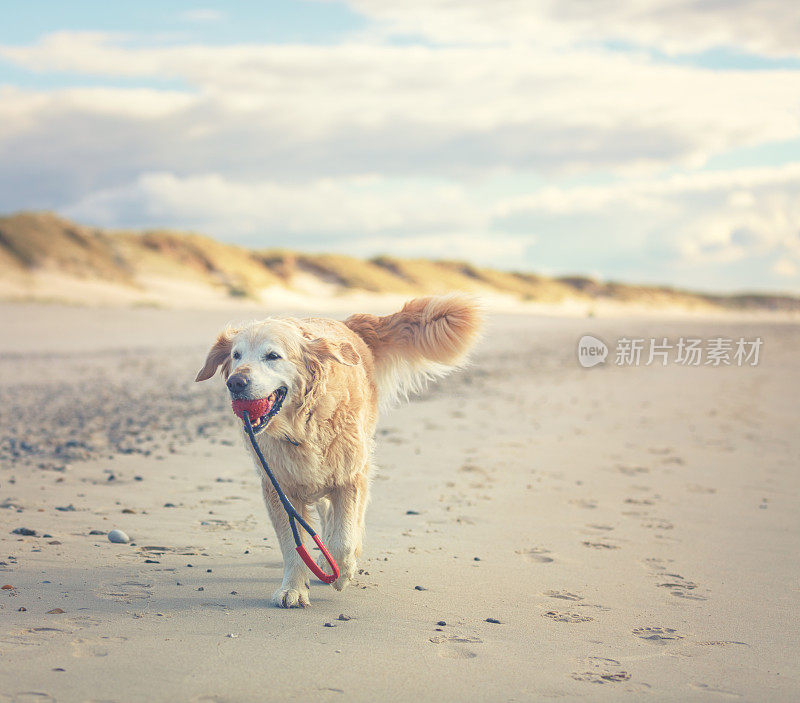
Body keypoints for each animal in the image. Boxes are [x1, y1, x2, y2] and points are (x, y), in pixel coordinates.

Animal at [195, 294, 482, 608]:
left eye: (272, 356)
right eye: (236, 355)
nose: (235, 382)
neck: (303, 426)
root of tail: (348, 323)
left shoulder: (350, 476)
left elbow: (345, 538)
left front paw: (343, 571)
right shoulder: (278, 487)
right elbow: (292, 546)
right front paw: (293, 588)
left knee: (347, 521)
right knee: (325, 512)